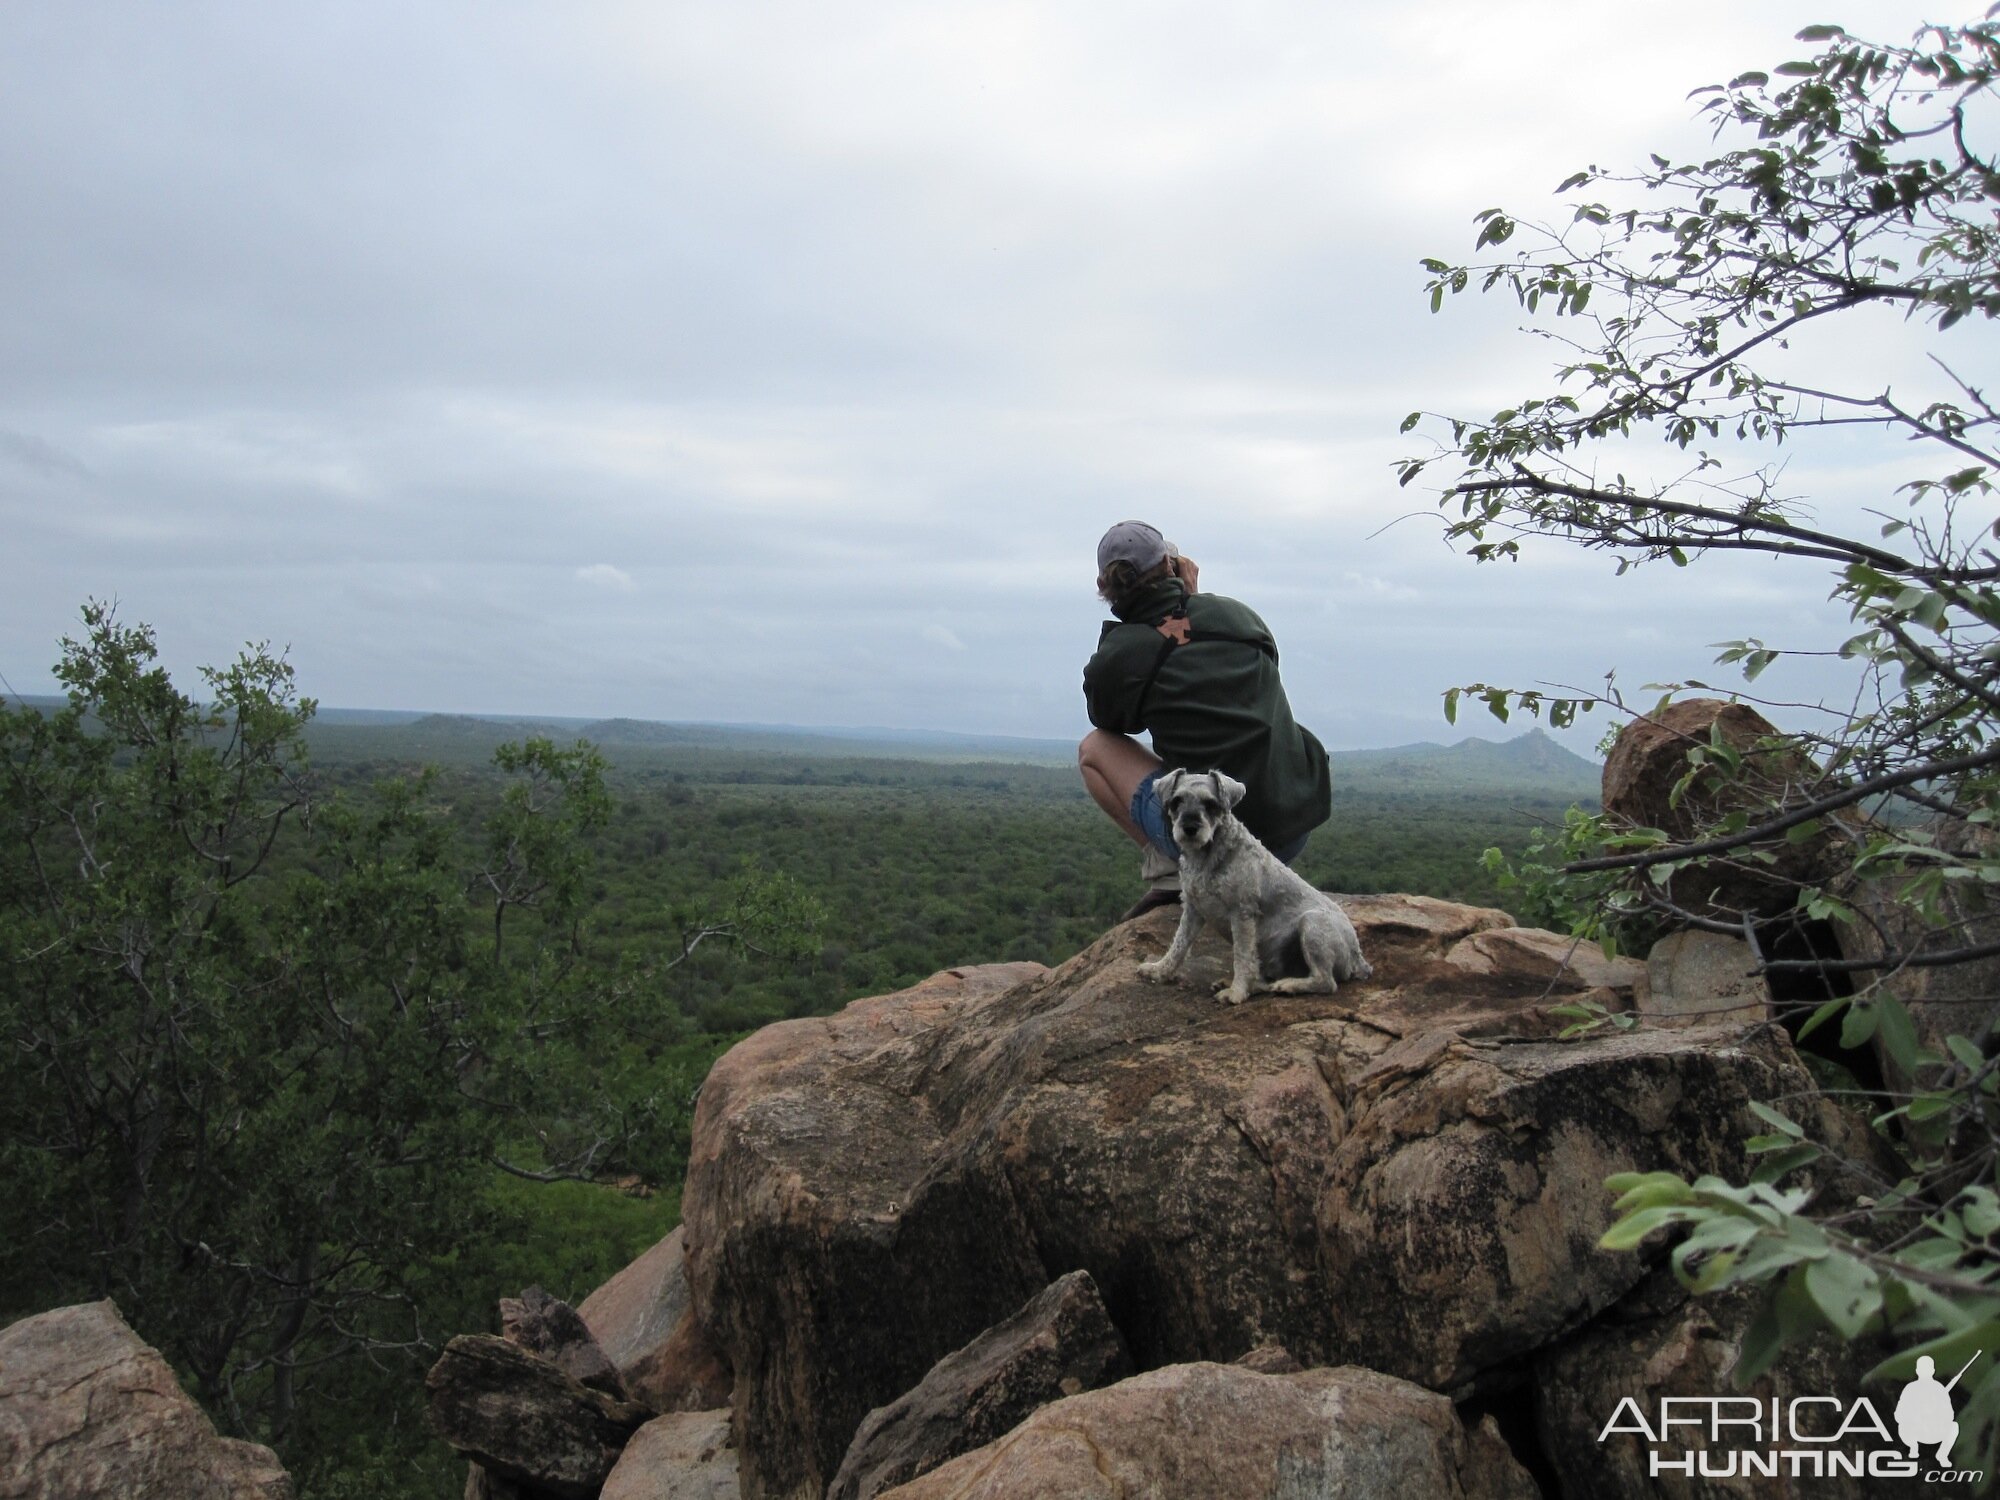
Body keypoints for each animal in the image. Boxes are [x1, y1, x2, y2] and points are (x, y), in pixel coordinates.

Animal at [1144, 768, 1376, 1004]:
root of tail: (1358, 958)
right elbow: (1179, 943)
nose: (1190, 828)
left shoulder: (1242, 913)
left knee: (1326, 981)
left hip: (1313, 924)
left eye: (1211, 804)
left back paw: (1286, 986)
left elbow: (1242, 955)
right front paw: (1159, 970)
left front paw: (1236, 993)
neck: (1207, 856)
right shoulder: (1193, 908)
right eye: (1176, 801)